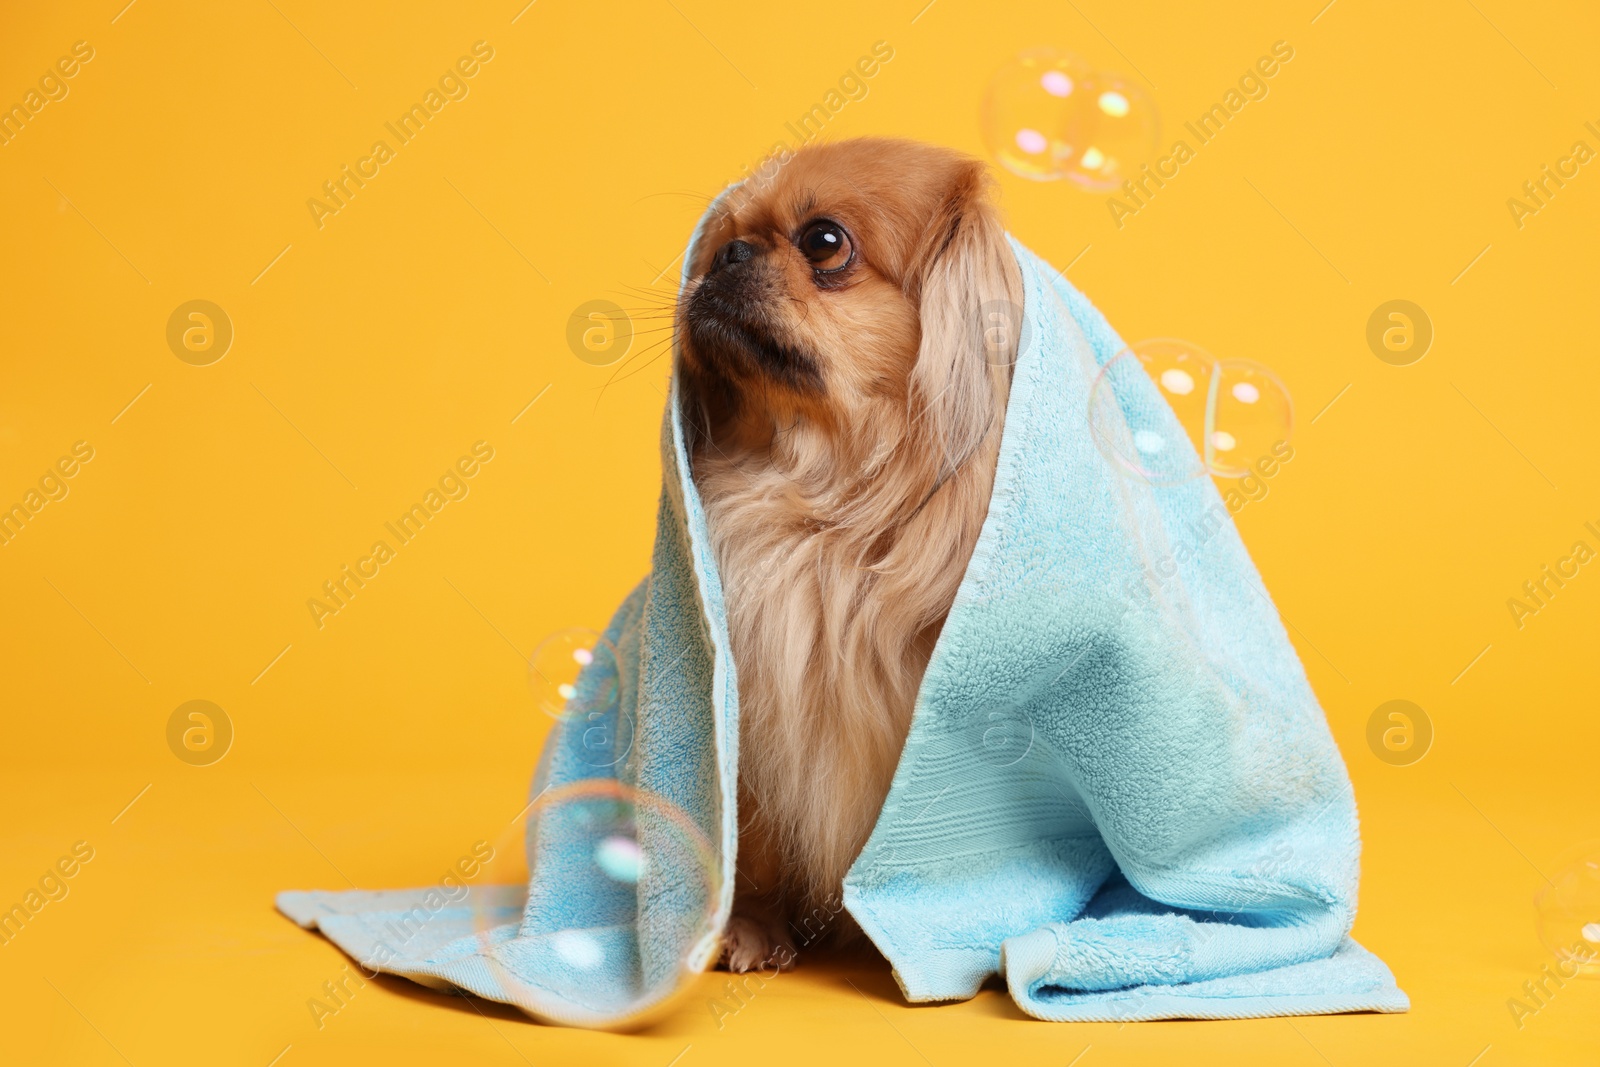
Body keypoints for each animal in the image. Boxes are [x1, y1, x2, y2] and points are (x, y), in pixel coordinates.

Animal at [675, 137, 1024, 972]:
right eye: (724, 238)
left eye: (825, 242)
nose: (731, 252)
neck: (822, 515)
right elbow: (752, 835)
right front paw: (750, 923)